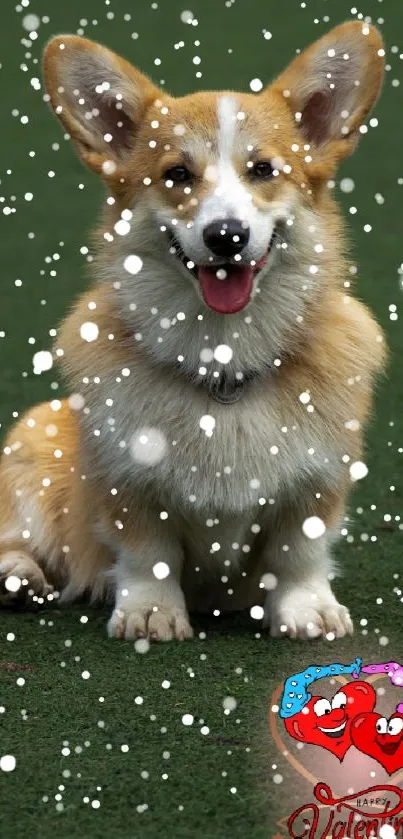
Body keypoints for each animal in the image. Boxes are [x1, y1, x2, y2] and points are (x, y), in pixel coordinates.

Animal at [0, 24, 386, 644]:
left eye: (263, 170)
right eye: (177, 174)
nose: (225, 235)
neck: (223, 362)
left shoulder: (319, 476)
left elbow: (299, 551)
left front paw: (308, 611)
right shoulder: (127, 482)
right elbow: (148, 553)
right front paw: (150, 613)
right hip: (31, 443)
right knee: (17, 536)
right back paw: (18, 577)